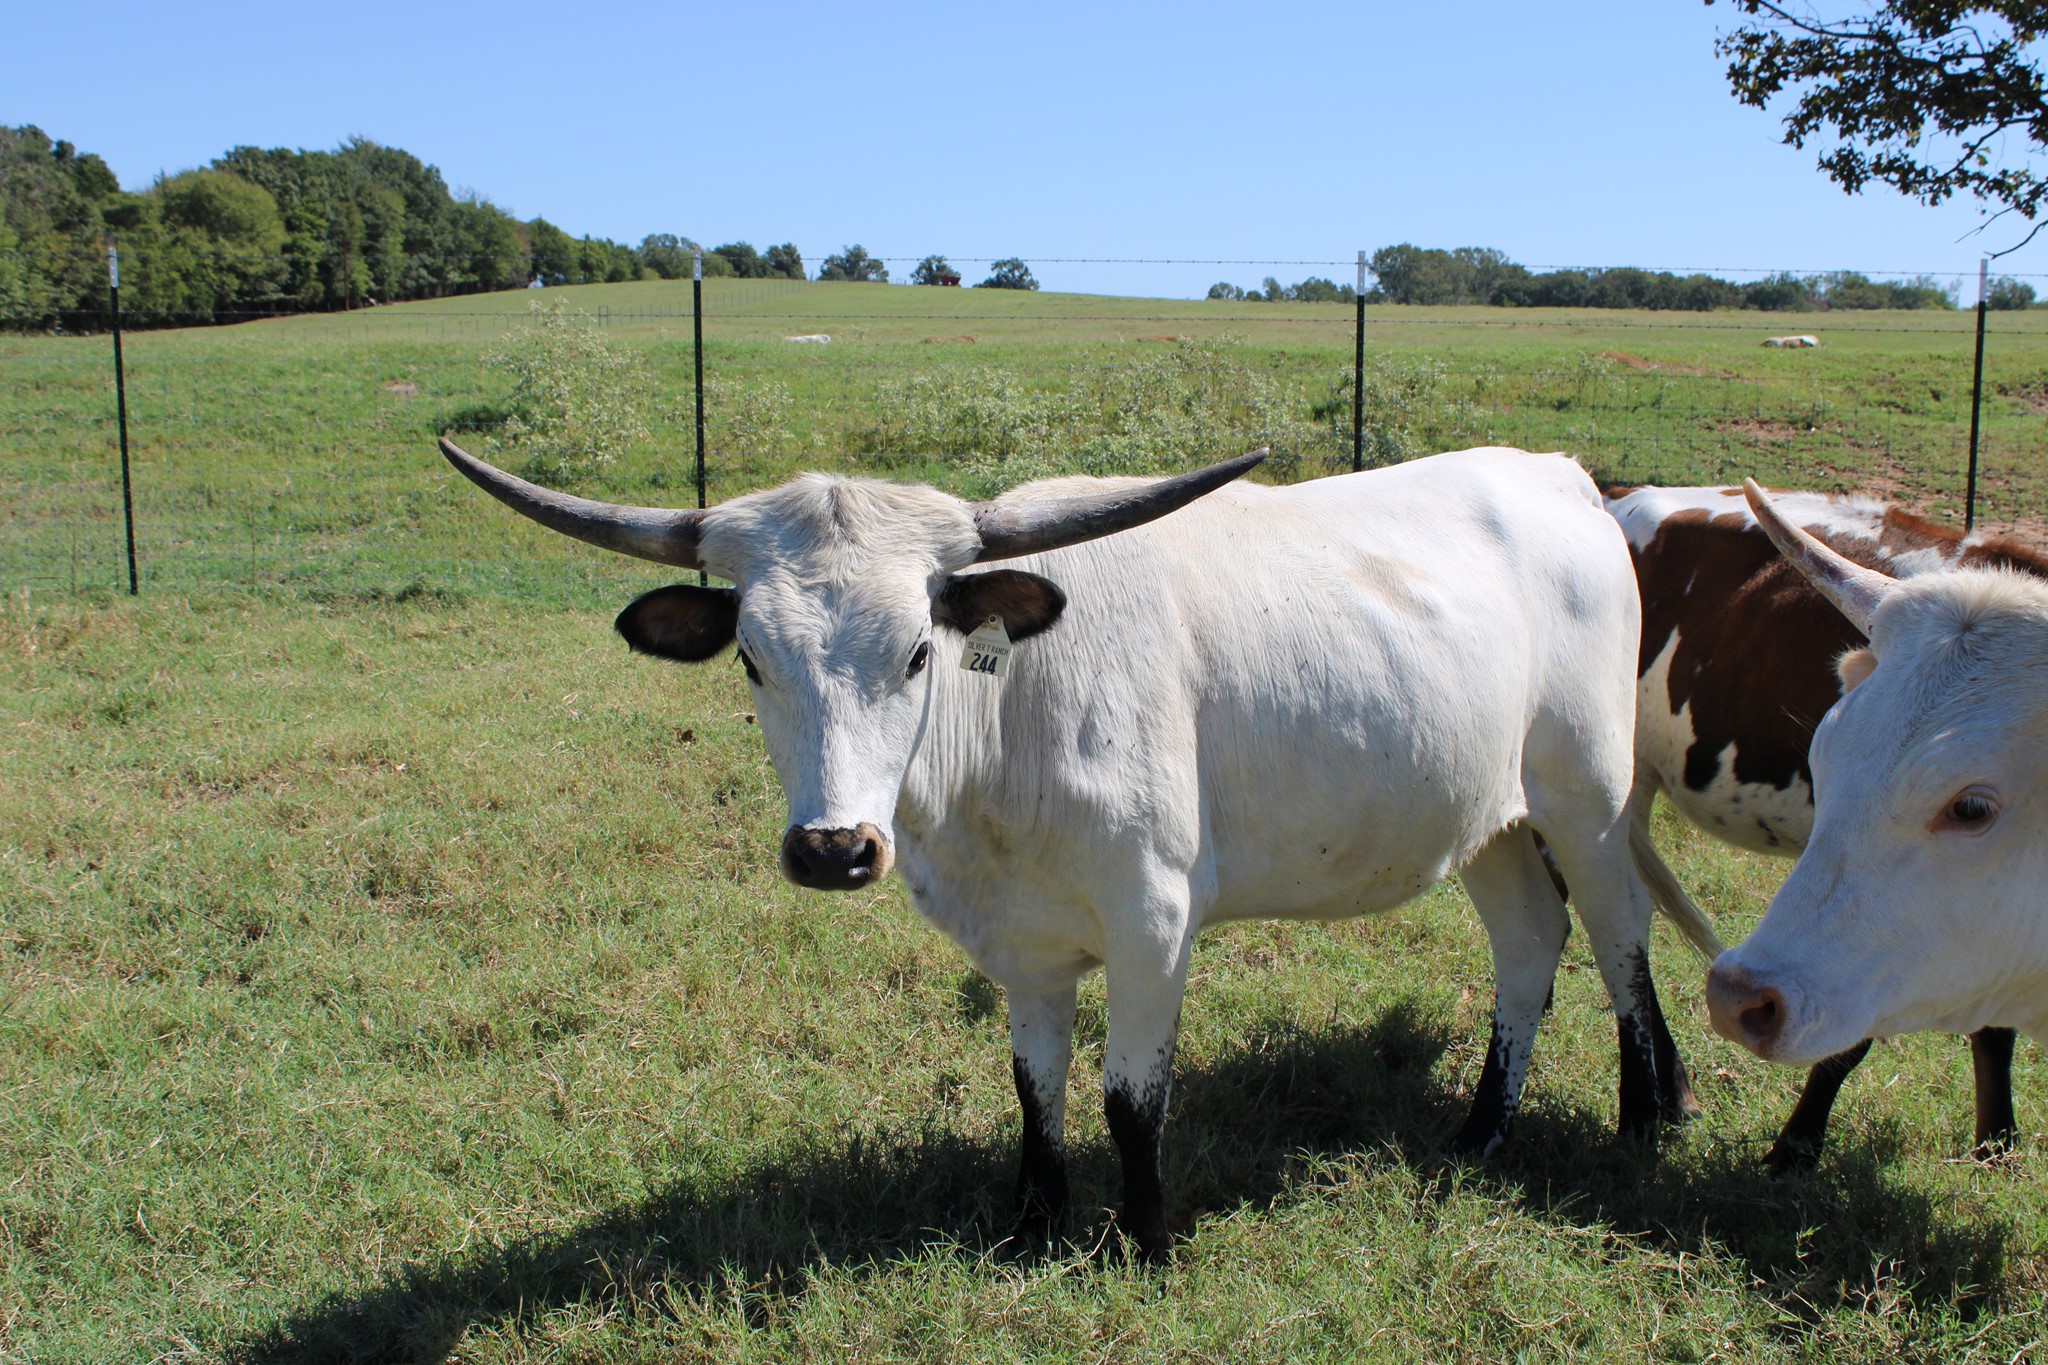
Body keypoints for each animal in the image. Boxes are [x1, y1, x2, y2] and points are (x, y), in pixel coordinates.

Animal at [440, 437, 1709, 1261]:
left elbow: (1127, 1099)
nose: (834, 849)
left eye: (916, 650)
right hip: (1485, 810)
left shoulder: (1154, 920)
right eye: (751, 658)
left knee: (1620, 938)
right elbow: (1034, 1086)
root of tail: (1558, 479)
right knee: (1528, 943)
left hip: (1586, 794)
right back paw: (1480, 1133)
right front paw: (1034, 1224)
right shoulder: (1019, 941)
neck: (1005, 730)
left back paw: (1644, 1119)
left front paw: (1146, 1243)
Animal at [1608, 482, 2048, 1168]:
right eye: (1825, 753)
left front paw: (1996, 1143)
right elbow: (1849, 1038)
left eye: (1970, 808)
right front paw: (1794, 1147)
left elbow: (1994, 1027)